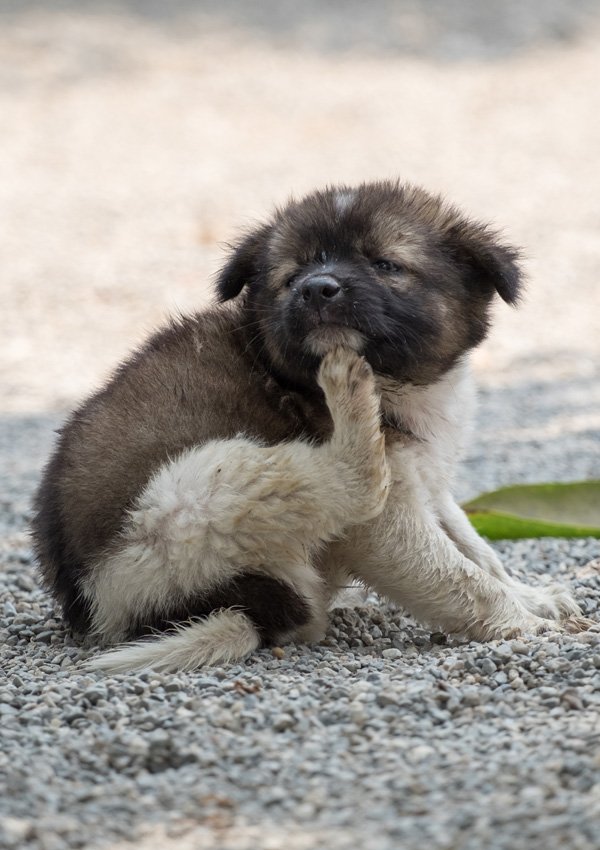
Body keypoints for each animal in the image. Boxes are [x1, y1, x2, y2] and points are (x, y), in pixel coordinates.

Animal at [30, 181, 588, 668]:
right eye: (292, 275)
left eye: (385, 264)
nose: (318, 289)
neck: (401, 384)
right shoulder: (384, 523)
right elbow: (460, 577)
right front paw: (525, 625)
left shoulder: (428, 479)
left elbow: (475, 550)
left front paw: (532, 598)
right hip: (197, 491)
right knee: (349, 485)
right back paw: (348, 393)